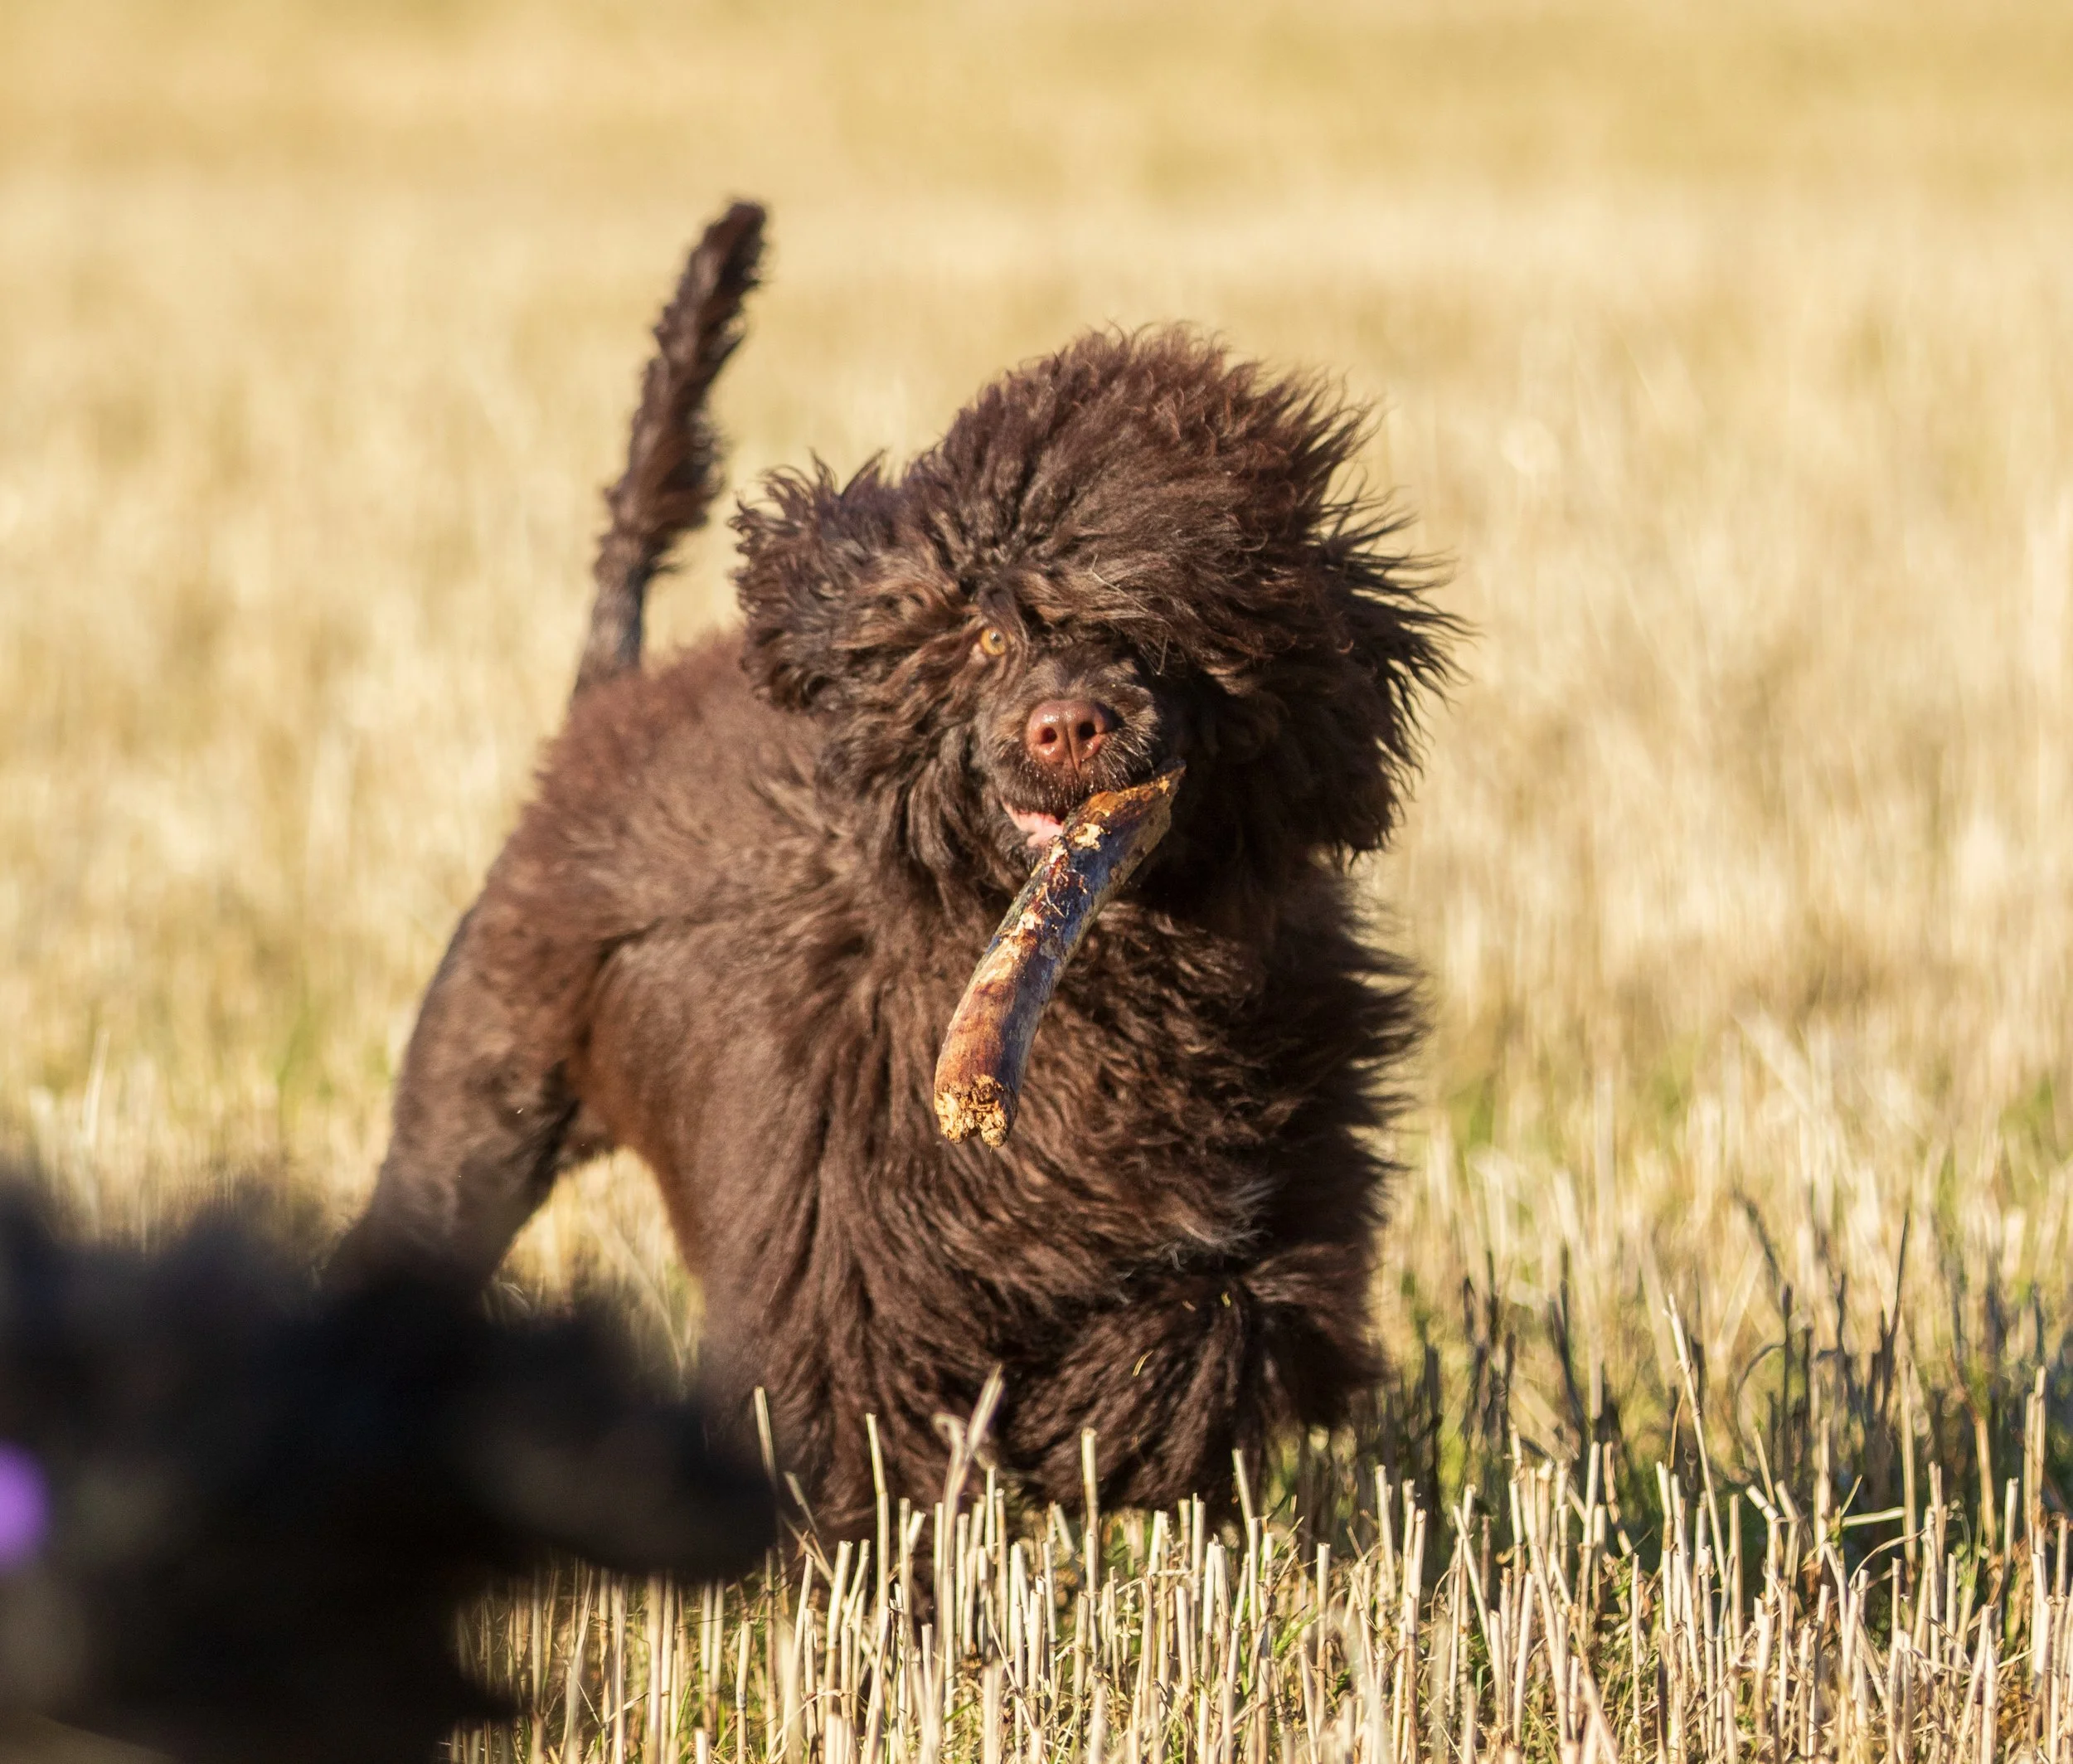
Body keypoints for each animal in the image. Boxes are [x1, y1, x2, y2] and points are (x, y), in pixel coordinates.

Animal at [333, 200, 1453, 1538]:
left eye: (1148, 629)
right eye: (982, 638)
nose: (1068, 726)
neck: (1104, 989)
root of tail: (599, 714)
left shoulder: (1293, 1191)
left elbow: (1229, 1316)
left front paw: (1093, 1424)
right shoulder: (837, 1248)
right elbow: (857, 1432)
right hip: (478, 1111)